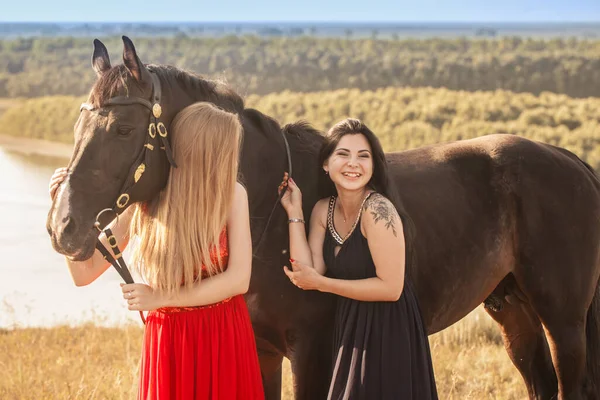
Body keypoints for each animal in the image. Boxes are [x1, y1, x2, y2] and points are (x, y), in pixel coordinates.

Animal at [47, 36, 600, 398]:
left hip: (564, 319)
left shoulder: (311, 354)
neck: (265, 214)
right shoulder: (264, 353)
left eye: (122, 128)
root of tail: (570, 160)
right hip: (513, 310)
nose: (63, 227)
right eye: (76, 124)